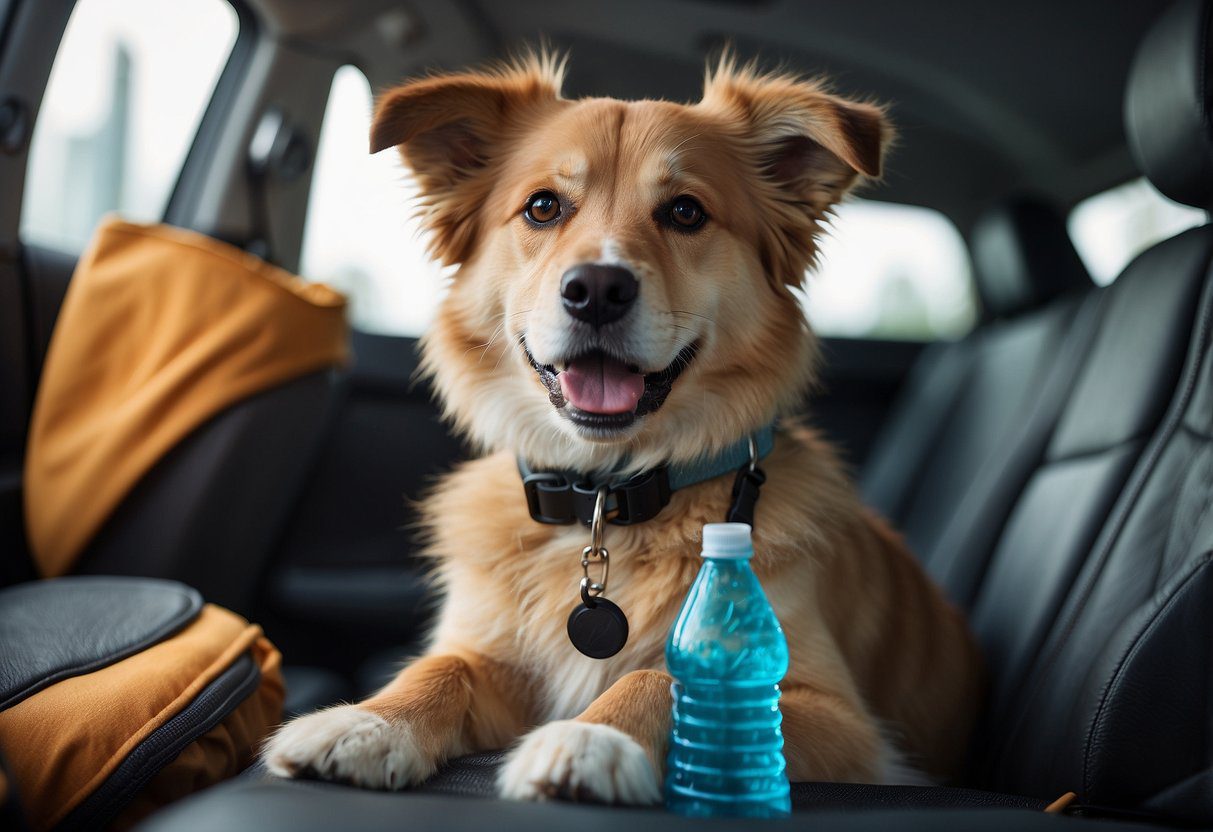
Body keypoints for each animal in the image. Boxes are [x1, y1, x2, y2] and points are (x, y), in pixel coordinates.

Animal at [265, 50, 984, 800]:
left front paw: (594, 737)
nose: (597, 290)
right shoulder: (494, 657)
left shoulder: (847, 725)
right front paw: (368, 722)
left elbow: (666, 678)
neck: (605, 499)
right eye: (543, 206)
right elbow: (443, 667)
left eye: (686, 211)